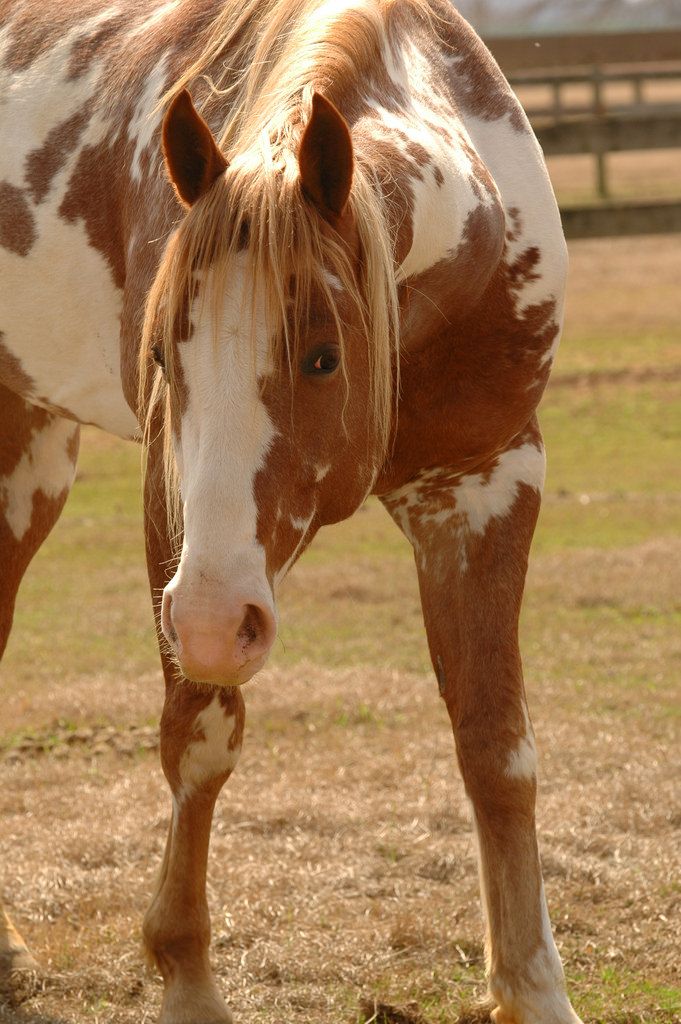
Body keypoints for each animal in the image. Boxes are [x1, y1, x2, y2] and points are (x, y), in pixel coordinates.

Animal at [2, 0, 581, 1019]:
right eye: (163, 355)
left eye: (322, 357)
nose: (209, 616)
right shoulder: (174, 513)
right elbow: (200, 735)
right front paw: (188, 980)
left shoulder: (489, 480)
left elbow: (496, 745)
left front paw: (533, 988)